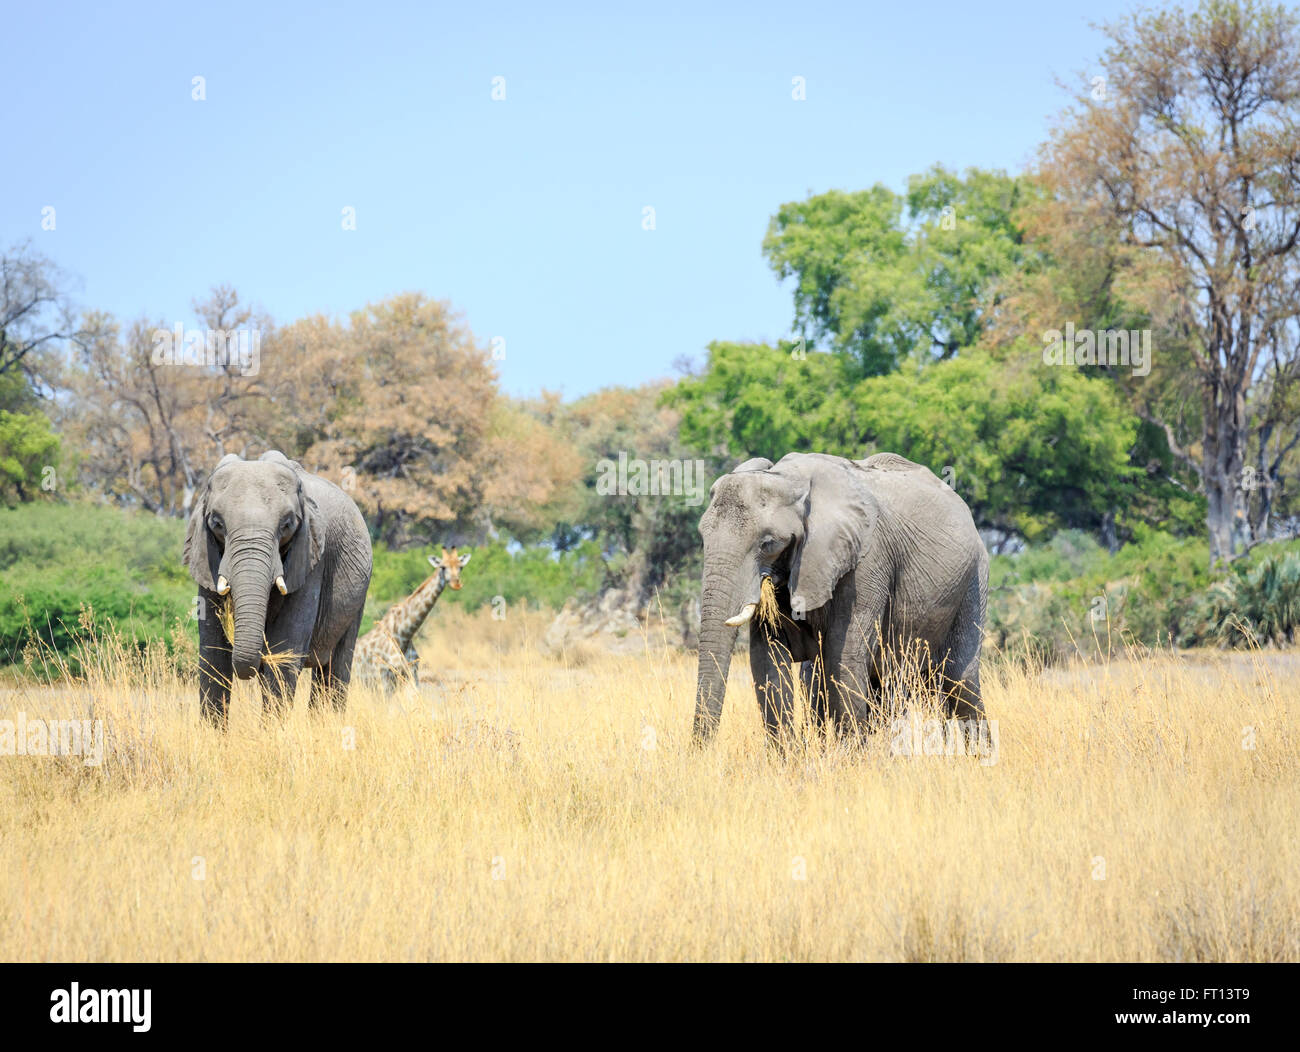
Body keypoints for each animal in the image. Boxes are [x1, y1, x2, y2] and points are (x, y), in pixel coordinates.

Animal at [180, 447, 371, 728]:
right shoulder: (206, 555)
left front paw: (272, 734)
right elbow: (214, 654)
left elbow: (284, 651)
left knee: (336, 667)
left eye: (287, 524)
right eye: (217, 523)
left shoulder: (311, 557)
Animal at [353, 540, 475, 691]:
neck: (404, 634)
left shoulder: (412, 673)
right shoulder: (384, 675)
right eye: (443, 567)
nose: (456, 583)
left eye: (460, 567)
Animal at [691, 449, 982, 738]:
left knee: (961, 680)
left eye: (768, 543)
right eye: (702, 536)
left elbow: (843, 656)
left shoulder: (866, 563)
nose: (702, 748)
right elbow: (767, 658)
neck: (791, 480)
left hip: (974, 580)